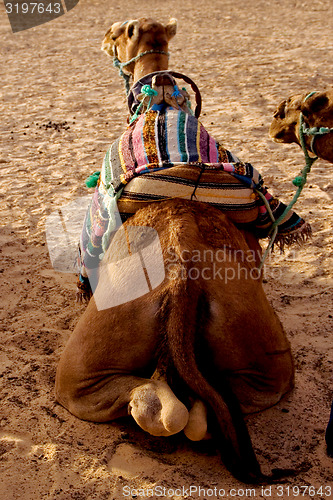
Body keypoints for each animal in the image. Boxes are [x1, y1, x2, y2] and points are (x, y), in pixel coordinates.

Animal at [55, 18, 296, 480]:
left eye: (116, 34)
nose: (104, 40)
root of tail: (182, 273)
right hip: (265, 361)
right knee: (218, 402)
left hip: (79, 366)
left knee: (155, 408)